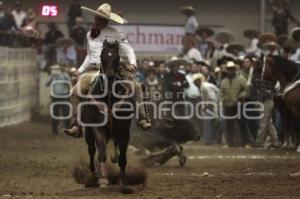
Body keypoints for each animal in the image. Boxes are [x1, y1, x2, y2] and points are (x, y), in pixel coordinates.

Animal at [81, 39, 134, 192]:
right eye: (101, 56)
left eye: (117, 57)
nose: (110, 76)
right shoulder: (97, 128)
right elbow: (101, 154)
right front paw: (103, 181)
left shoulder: (124, 130)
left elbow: (122, 158)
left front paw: (123, 182)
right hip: (88, 132)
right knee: (92, 151)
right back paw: (92, 177)